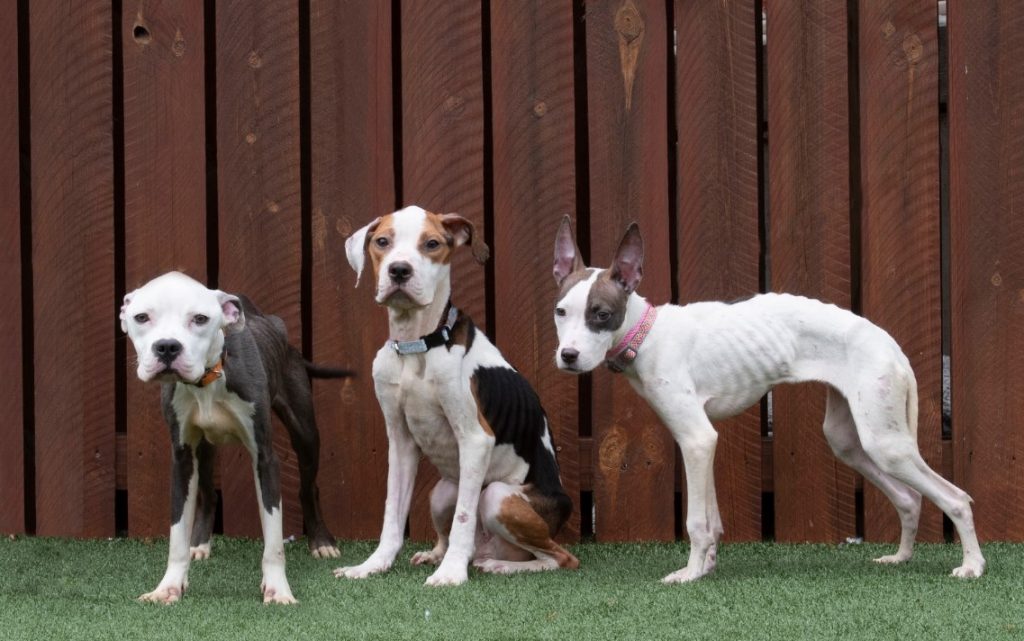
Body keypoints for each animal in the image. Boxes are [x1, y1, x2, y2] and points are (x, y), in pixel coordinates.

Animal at [120, 272, 348, 602]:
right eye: (141, 317)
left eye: (200, 319)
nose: (167, 347)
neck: (207, 380)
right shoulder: (182, 458)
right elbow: (177, 535)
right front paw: (168, 587)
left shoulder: (265, 457)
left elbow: (274, 538)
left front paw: (278, 590)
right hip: (204, 450)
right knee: (209, 493)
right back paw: (200, 543)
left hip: (306, 434)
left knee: (309, 487)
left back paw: (322, 542)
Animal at [335, 204, 577, 585]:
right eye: (382, 242)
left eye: (432, 244)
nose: (399, 270)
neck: (417, 343)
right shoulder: (400, 441)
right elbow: (392, 513)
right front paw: (373, 565)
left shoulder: (476, 439)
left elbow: (464, 516)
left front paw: (451, 574)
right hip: (441, 491)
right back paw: (437, 555)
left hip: (497, 497)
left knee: (559, 557)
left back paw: (498, 565)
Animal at [552, 218, 983, 577]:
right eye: (560, 312)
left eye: (601, 314)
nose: (567, 357)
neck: (647, 334)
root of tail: (890, 343)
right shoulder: (702, 441)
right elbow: (713, 519)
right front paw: (707, 567)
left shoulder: (696, 438)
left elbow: (696, 521)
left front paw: (689, 574)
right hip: (849, 440)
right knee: (909, 498)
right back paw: (901, 557)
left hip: (885, 444)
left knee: (957, 498)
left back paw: (972, 566)